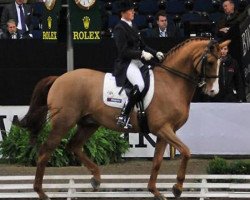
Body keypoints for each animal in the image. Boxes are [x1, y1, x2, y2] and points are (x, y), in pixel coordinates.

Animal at [19, 38, 228, 200]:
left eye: (221, 62)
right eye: (210, 61)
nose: (213, 91)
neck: (172, 82)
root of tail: (60, 78)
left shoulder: (165, 132)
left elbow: (157, 162)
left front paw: (155, 191)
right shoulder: (163, 129)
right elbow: (186, 152)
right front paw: (177, 188)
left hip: (89, 123)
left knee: (74, 146)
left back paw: (96, 179)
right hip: (63, 122)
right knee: (45, 151)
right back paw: (41, 192)